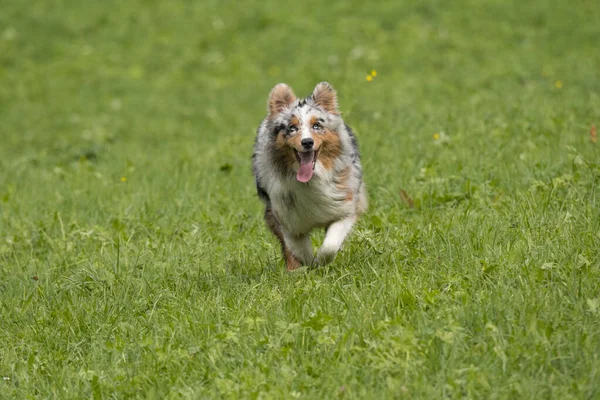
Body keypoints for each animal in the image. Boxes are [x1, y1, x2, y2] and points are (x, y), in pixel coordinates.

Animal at [252, 81, 368, 270]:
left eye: (316, 126)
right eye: (292, 128)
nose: (307, 142)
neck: (312, 180)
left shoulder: (344, 207)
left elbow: (330, 245)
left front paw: (320, 262)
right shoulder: (288, 221)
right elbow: (298, 249)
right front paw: (307, 266)